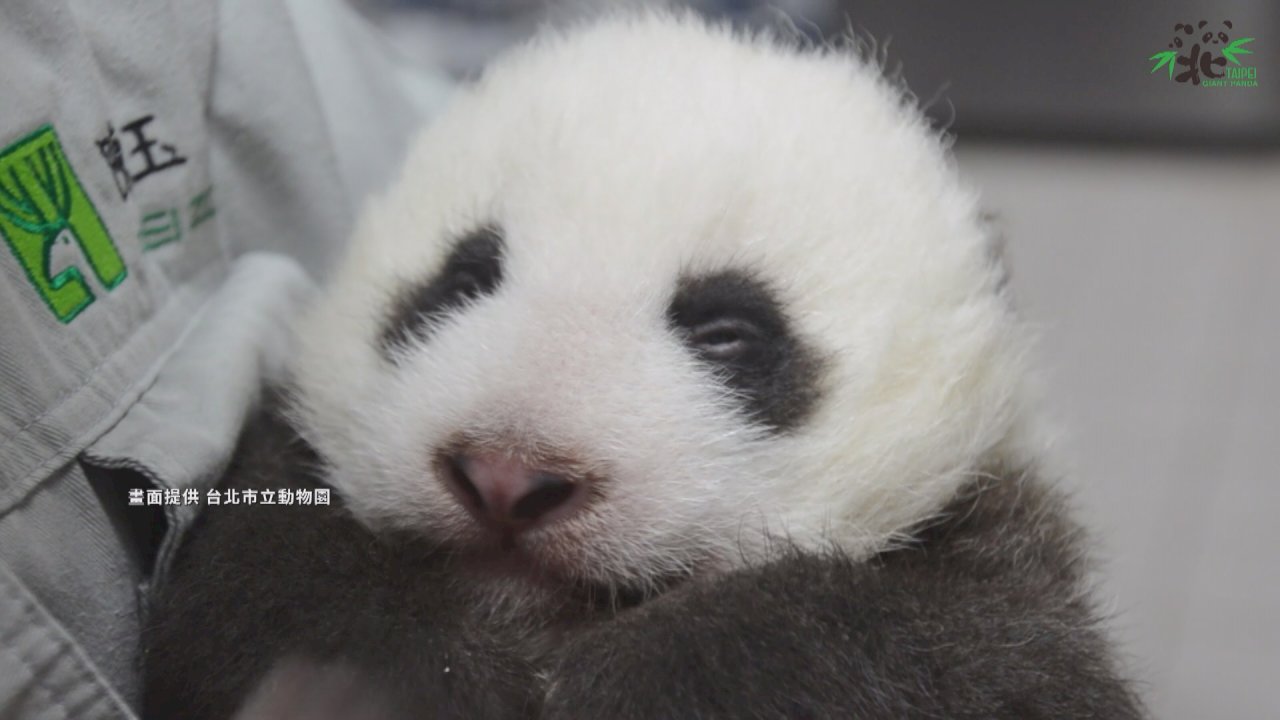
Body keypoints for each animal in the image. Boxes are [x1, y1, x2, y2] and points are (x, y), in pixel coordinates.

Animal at [143, 12, 1144, 720]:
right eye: (463, 278)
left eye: (727, 331)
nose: (507, 475)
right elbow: (274, 577)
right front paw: (400, 675)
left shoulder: (1001, 553)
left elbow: (977, 660)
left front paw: (660, 674)